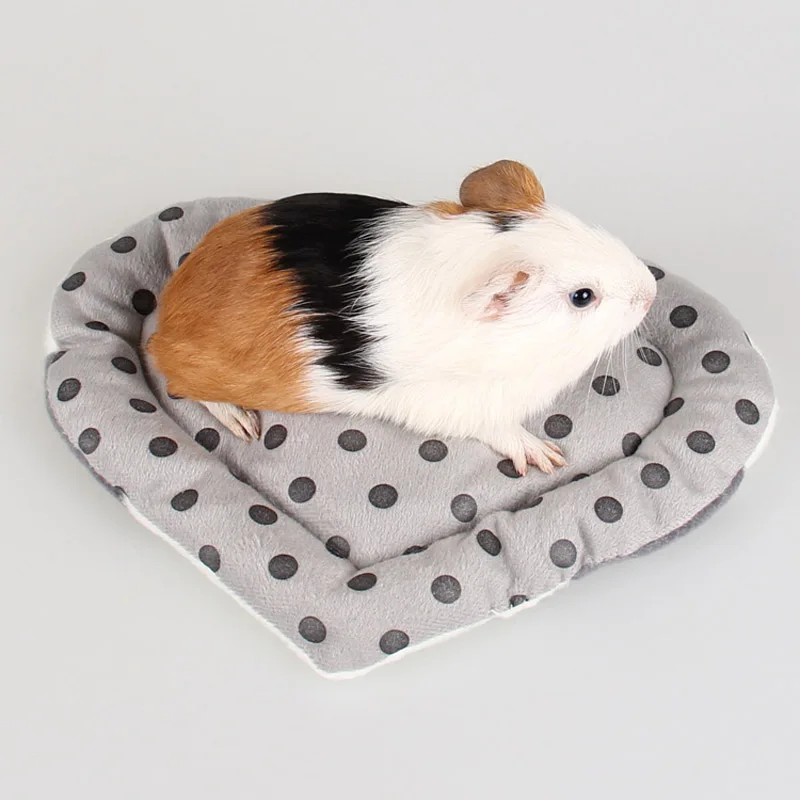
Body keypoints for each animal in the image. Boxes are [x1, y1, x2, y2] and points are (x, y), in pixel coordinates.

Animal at [147, 160, 656, 476]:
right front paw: (547, 457)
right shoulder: (452, 406)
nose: (651, 290)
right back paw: (245, 426)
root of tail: (166, 316)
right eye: (582, 297)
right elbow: (499, 429)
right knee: (180, 384)